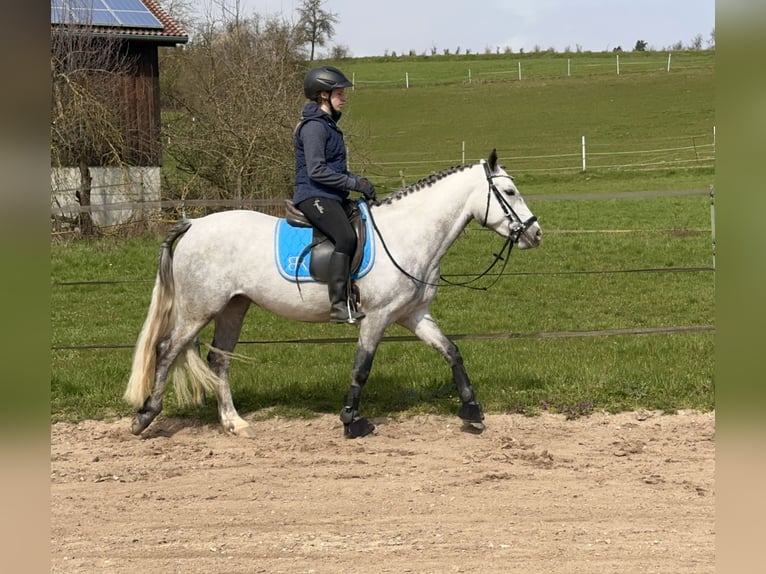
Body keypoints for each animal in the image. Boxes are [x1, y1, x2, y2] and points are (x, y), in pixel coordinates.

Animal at [126, 151, 544, 438]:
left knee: (219, 360)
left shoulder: (413, 315)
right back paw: (145, 416)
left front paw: (472, 411)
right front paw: (351, 421)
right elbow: (362, 367)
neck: (407, 235)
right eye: (509, 191)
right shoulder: (378, 316)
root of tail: (194, 224)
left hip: (233, 307)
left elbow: (451, 351)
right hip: (199, 308)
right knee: (167, 351)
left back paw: (234, 423)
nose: (535, 233)